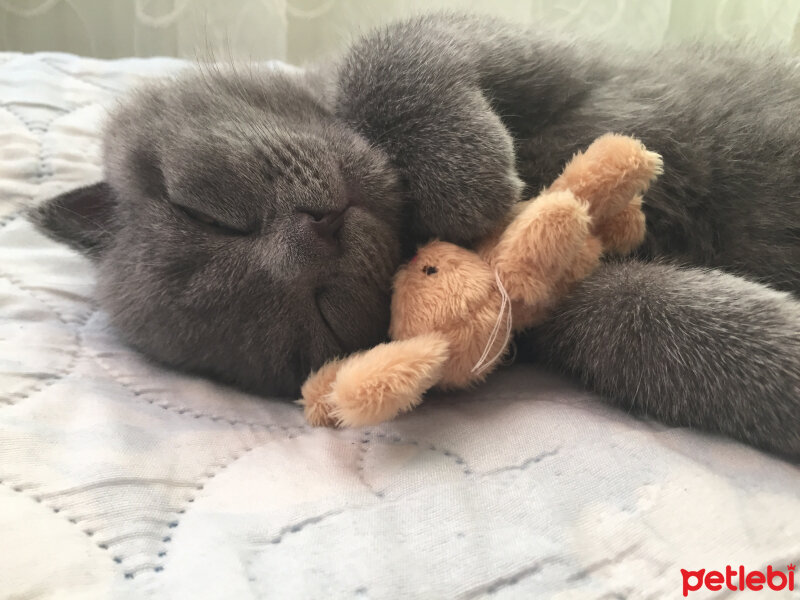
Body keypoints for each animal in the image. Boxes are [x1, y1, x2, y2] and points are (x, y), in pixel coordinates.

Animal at [36, 12, 800, 454]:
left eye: (202, 211)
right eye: (314, 319)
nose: (313, 235)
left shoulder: (549, 48)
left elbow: (391, 45)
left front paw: (467, 174)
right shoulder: (542, 315)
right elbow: (639, 325)